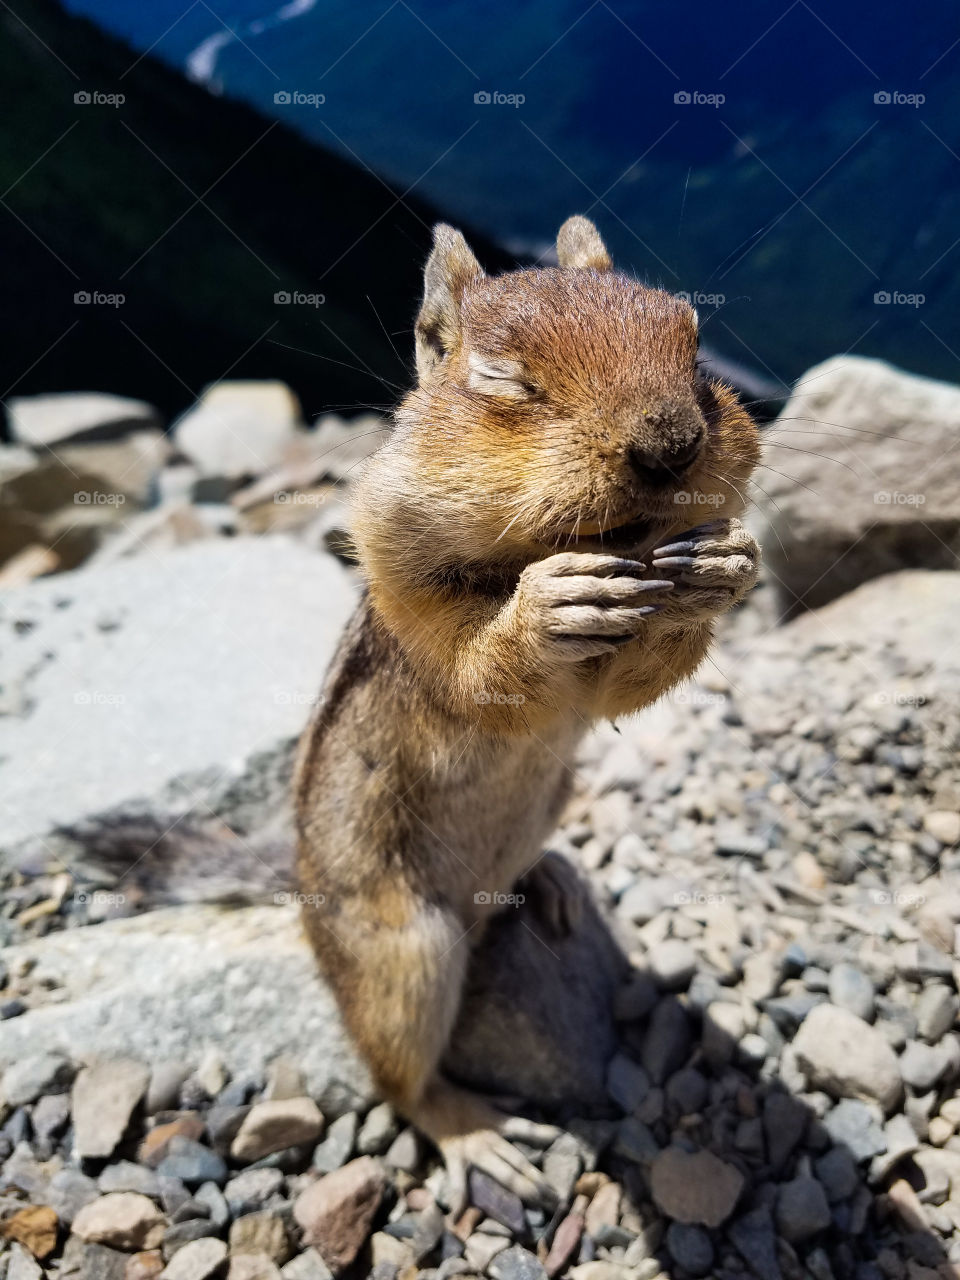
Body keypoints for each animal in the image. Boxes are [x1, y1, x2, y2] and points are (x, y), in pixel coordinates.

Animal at [293, 216, 761, 1209]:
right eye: (506, 380)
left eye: (695, 346)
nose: (671, 443)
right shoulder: (415, 624)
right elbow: (482, 675)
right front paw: (547, 607)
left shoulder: (612, 677)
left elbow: (628, 687)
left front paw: (724, 568)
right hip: (401, 954)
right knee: (401, 1078)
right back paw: (478, 1137)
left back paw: (543, 883)